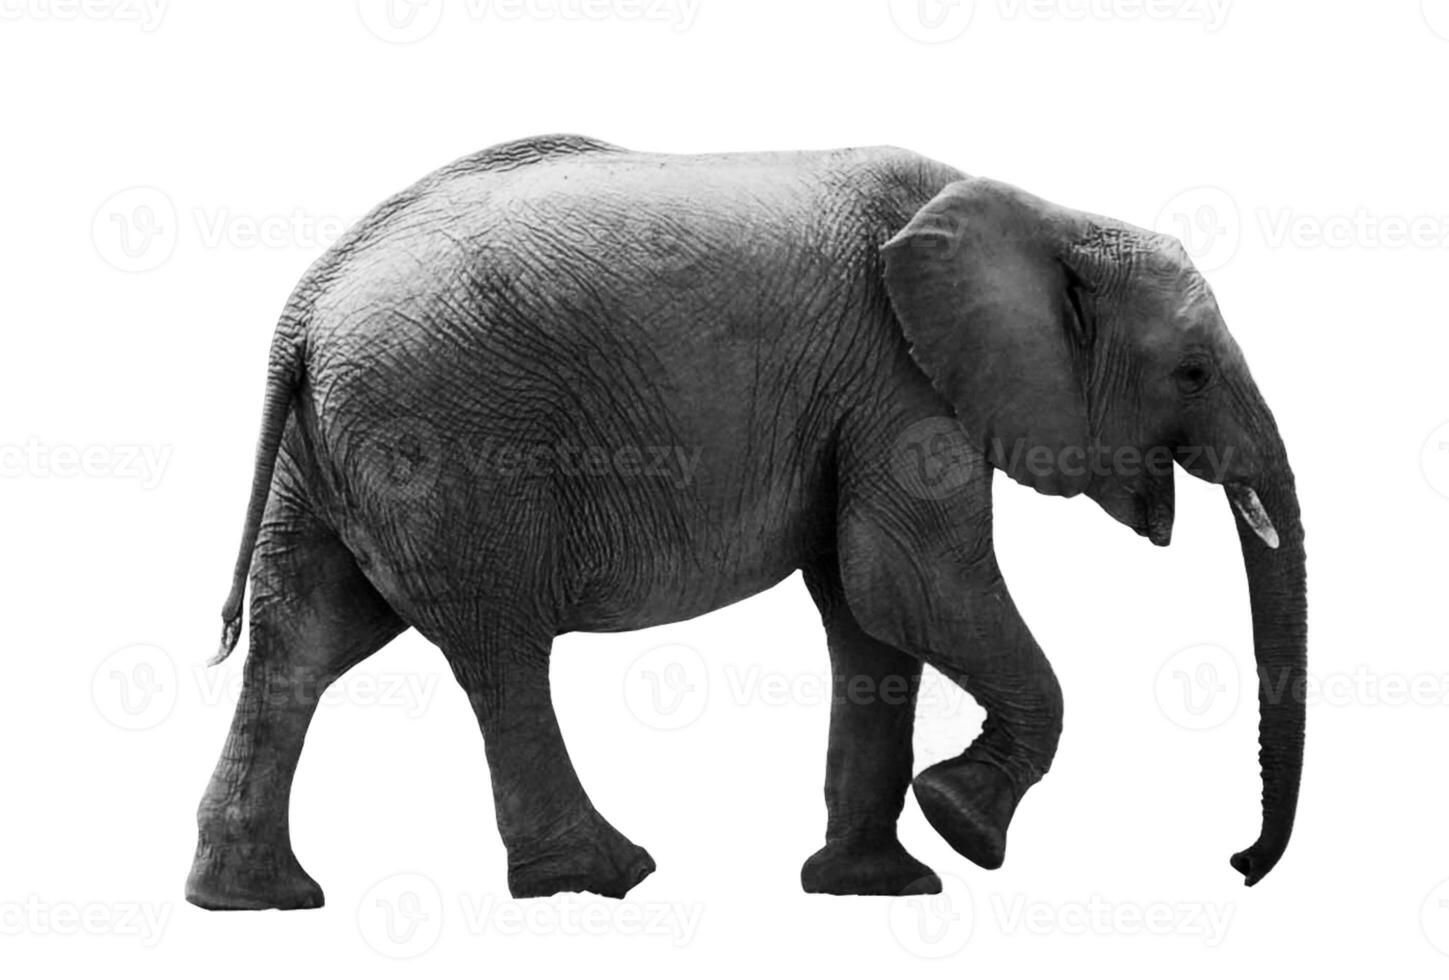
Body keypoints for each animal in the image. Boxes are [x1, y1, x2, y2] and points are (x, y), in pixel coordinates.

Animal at [186, 131, 1309, 910]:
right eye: (1192, 371)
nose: (1240, 864)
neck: (1048, 215)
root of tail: (305, 306)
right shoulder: (898, 382)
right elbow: (908, 585)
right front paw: (963, 826)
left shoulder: (865, 398)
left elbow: (869, 613)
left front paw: (878, 886)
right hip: (445, 437)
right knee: (497, 646)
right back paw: (600, 876)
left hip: (330, 453)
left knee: (303, 641)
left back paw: (257, 901)